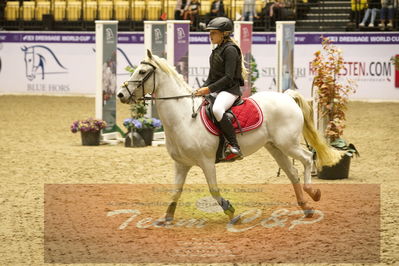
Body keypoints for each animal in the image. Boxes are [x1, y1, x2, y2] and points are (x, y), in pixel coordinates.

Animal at [117, 51, 342, 221]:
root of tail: (286, 96)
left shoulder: (206, 162)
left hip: (288, 144)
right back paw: (306, 208)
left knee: (307, 158)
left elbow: (214, 190)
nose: (121, 94)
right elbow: (175, 191)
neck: (182, 118)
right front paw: (167, 218)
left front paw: (232, 212)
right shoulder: (181, 164)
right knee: (292, 172)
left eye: (142, 71)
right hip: (274, 147)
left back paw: (313, 193)